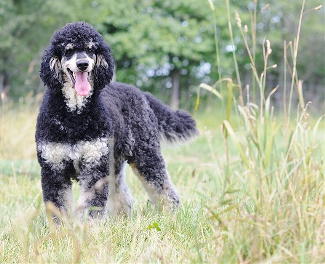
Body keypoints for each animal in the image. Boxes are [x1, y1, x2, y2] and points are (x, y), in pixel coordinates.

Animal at [35, 21, 197, 222]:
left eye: (91, 49)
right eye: (68, 50)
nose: (83, 64)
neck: (74, 117)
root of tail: (141, 93)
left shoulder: (95, 166)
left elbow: (91, 206)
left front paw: (87, 229)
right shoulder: (54, 169)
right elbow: (58, 209)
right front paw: (63, 230)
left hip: (145, 155)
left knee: (165, 190)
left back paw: (170, 217)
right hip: (115, 163)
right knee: (123, 196)